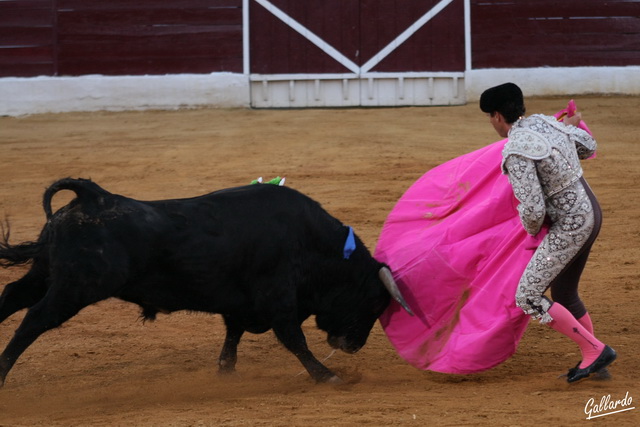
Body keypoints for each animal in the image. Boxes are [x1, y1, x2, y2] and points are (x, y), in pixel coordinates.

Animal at [0, 179, 410, 386]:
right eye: (374, 303)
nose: (353, 346)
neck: (313, 243)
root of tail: (92, 197)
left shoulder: (241, 301)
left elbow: (234, 332)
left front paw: (225, 370)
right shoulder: (277, 297)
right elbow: (293, 338)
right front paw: (327, 376)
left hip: (46, 274)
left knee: (11, 295)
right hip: (76, 287)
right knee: (34, 319)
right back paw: (3, 374)